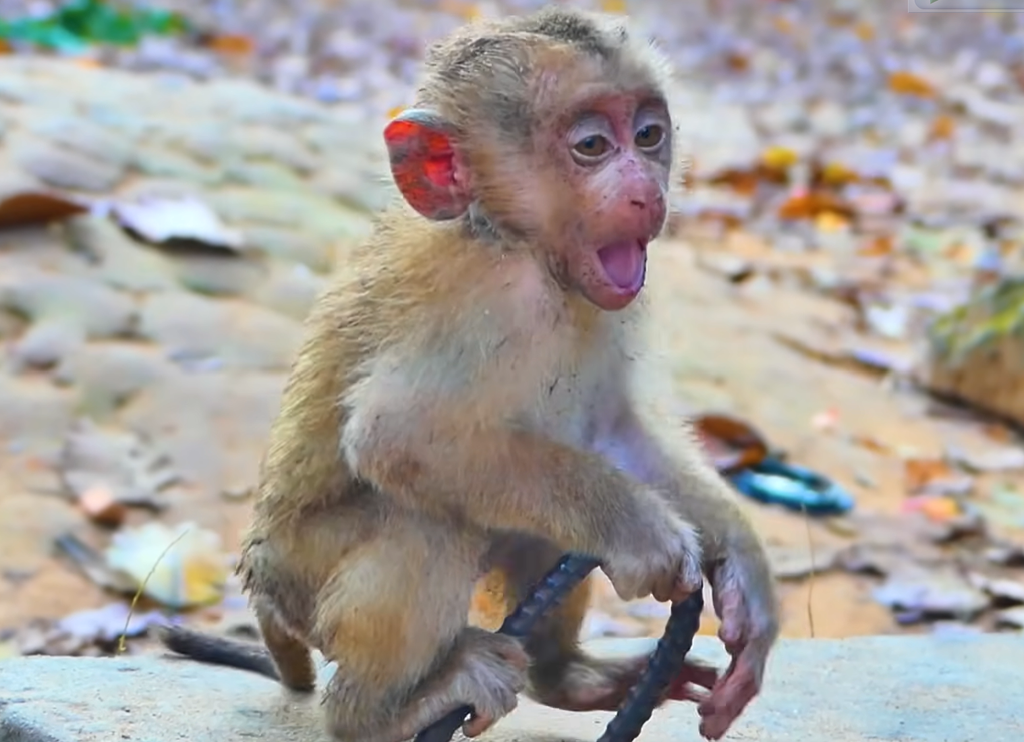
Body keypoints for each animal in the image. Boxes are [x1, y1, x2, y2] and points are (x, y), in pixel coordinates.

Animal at [156, 8, 779, 742]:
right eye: (593, 145)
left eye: (650, 135)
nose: (644, 191)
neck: (512, 238)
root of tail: (263, 589)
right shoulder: (487, 298)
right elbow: (401, 435)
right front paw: (646, 536)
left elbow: (611, 433)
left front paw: (741, 569)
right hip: (301, 578)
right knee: (425, 521)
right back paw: (375, 714)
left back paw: (569, 676)